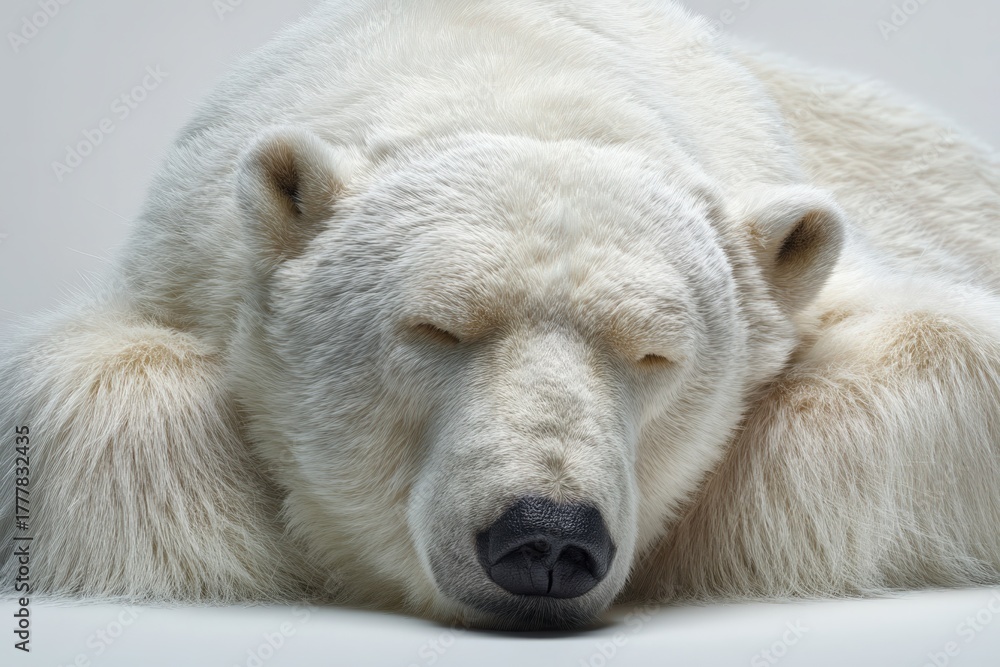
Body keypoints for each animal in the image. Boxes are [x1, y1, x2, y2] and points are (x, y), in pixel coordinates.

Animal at [3, 0, 1000, 630]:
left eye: (654, 354)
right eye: (436, 328)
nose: (548, 536)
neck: (508, 62)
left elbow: (944, 353)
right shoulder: (181, 252)